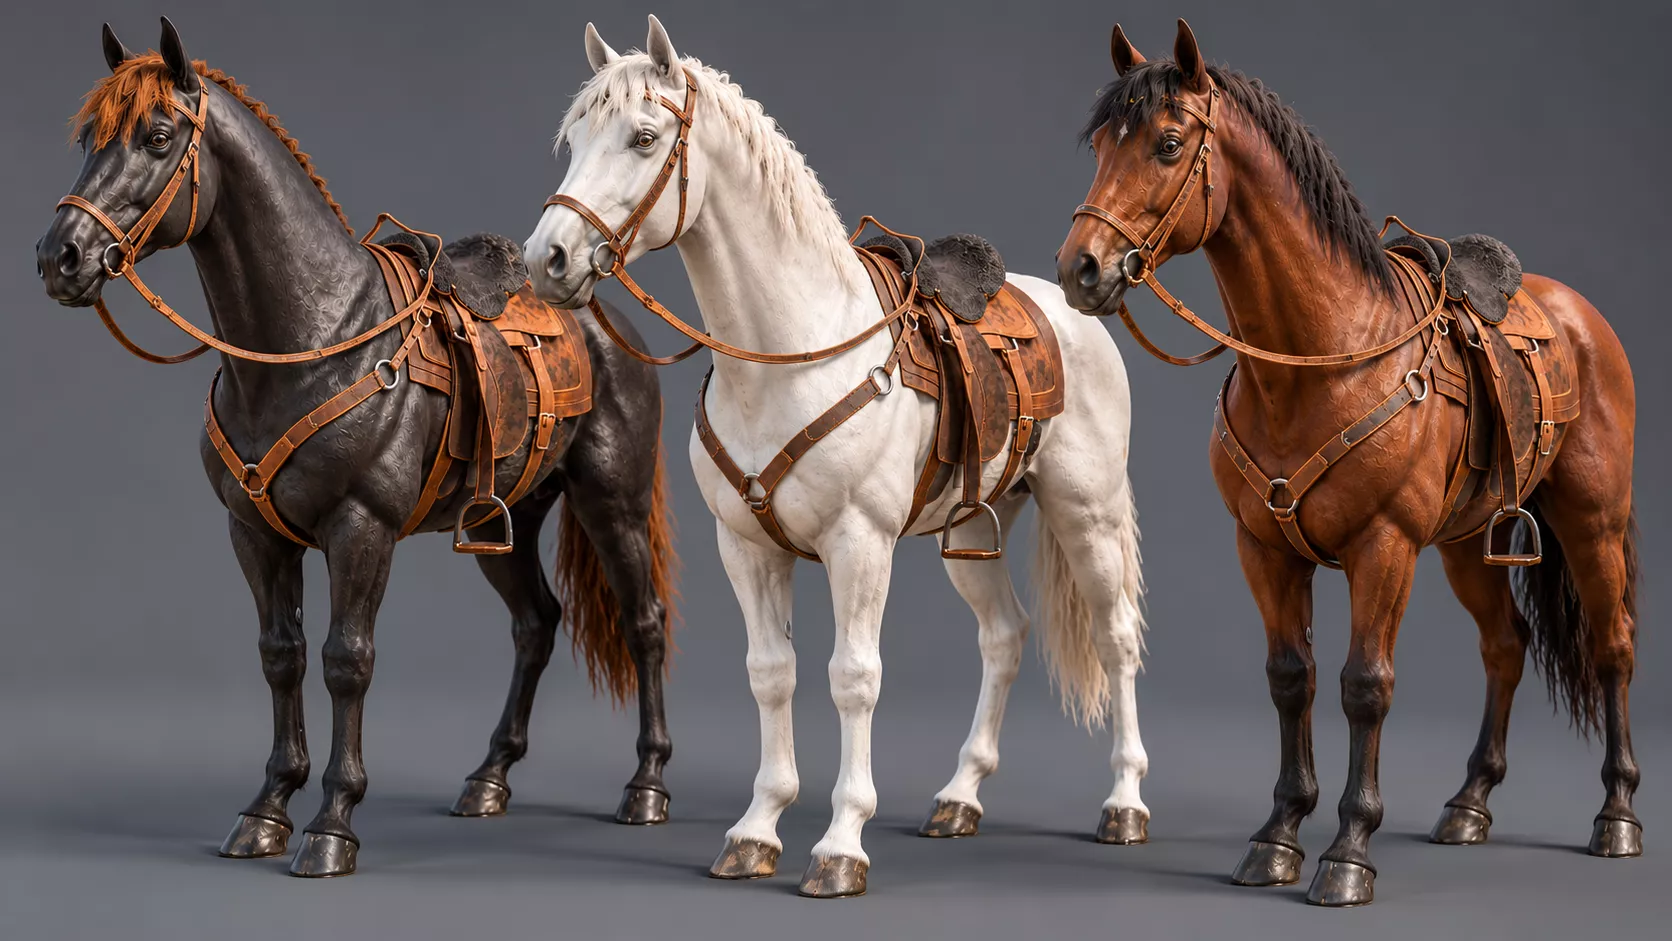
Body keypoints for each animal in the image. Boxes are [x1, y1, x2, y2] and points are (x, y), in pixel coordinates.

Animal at [36, 17, 680, 878]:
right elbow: (281, 653)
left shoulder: (359, 527)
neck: (312, 339)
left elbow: (347, 659)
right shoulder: (254, 532)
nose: (59, 257)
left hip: (613, 502)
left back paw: (646, 786)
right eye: (88, 139)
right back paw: (489, 777)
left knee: (644, 621)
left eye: (158, 136)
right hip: (500, 523)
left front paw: (332, 822)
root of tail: (604, 317)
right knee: (536, 623)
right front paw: (267, 807)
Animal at [522, 16, 1148, 899]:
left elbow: (853, 677)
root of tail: (1072, 304)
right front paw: (757, 828)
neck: (787, 352)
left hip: (1086, 515)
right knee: (1004, 635)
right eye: (573, 139)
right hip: (971, 529)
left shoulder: (860, 545)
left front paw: (841, 841)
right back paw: (959, 795)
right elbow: (771, 672)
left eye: (644, 137)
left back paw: (1125, 801)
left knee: (1116, 635)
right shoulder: (746, 547)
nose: (548, 257)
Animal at [1057, 19, 1641, 906]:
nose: (1080, 267)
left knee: (1612, 648)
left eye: (1167, 144)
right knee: (1505, 645)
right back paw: (1469, 803)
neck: (1319, 359)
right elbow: (1290, 675)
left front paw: (1348, 852)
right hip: (1466, 546)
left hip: (1590, 523)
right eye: (1097, 145)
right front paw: (1277, 836)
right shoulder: (1264, 549)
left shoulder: (1383, 548)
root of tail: (1582, 318)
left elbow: (1365, 684)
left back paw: (1617, 816)